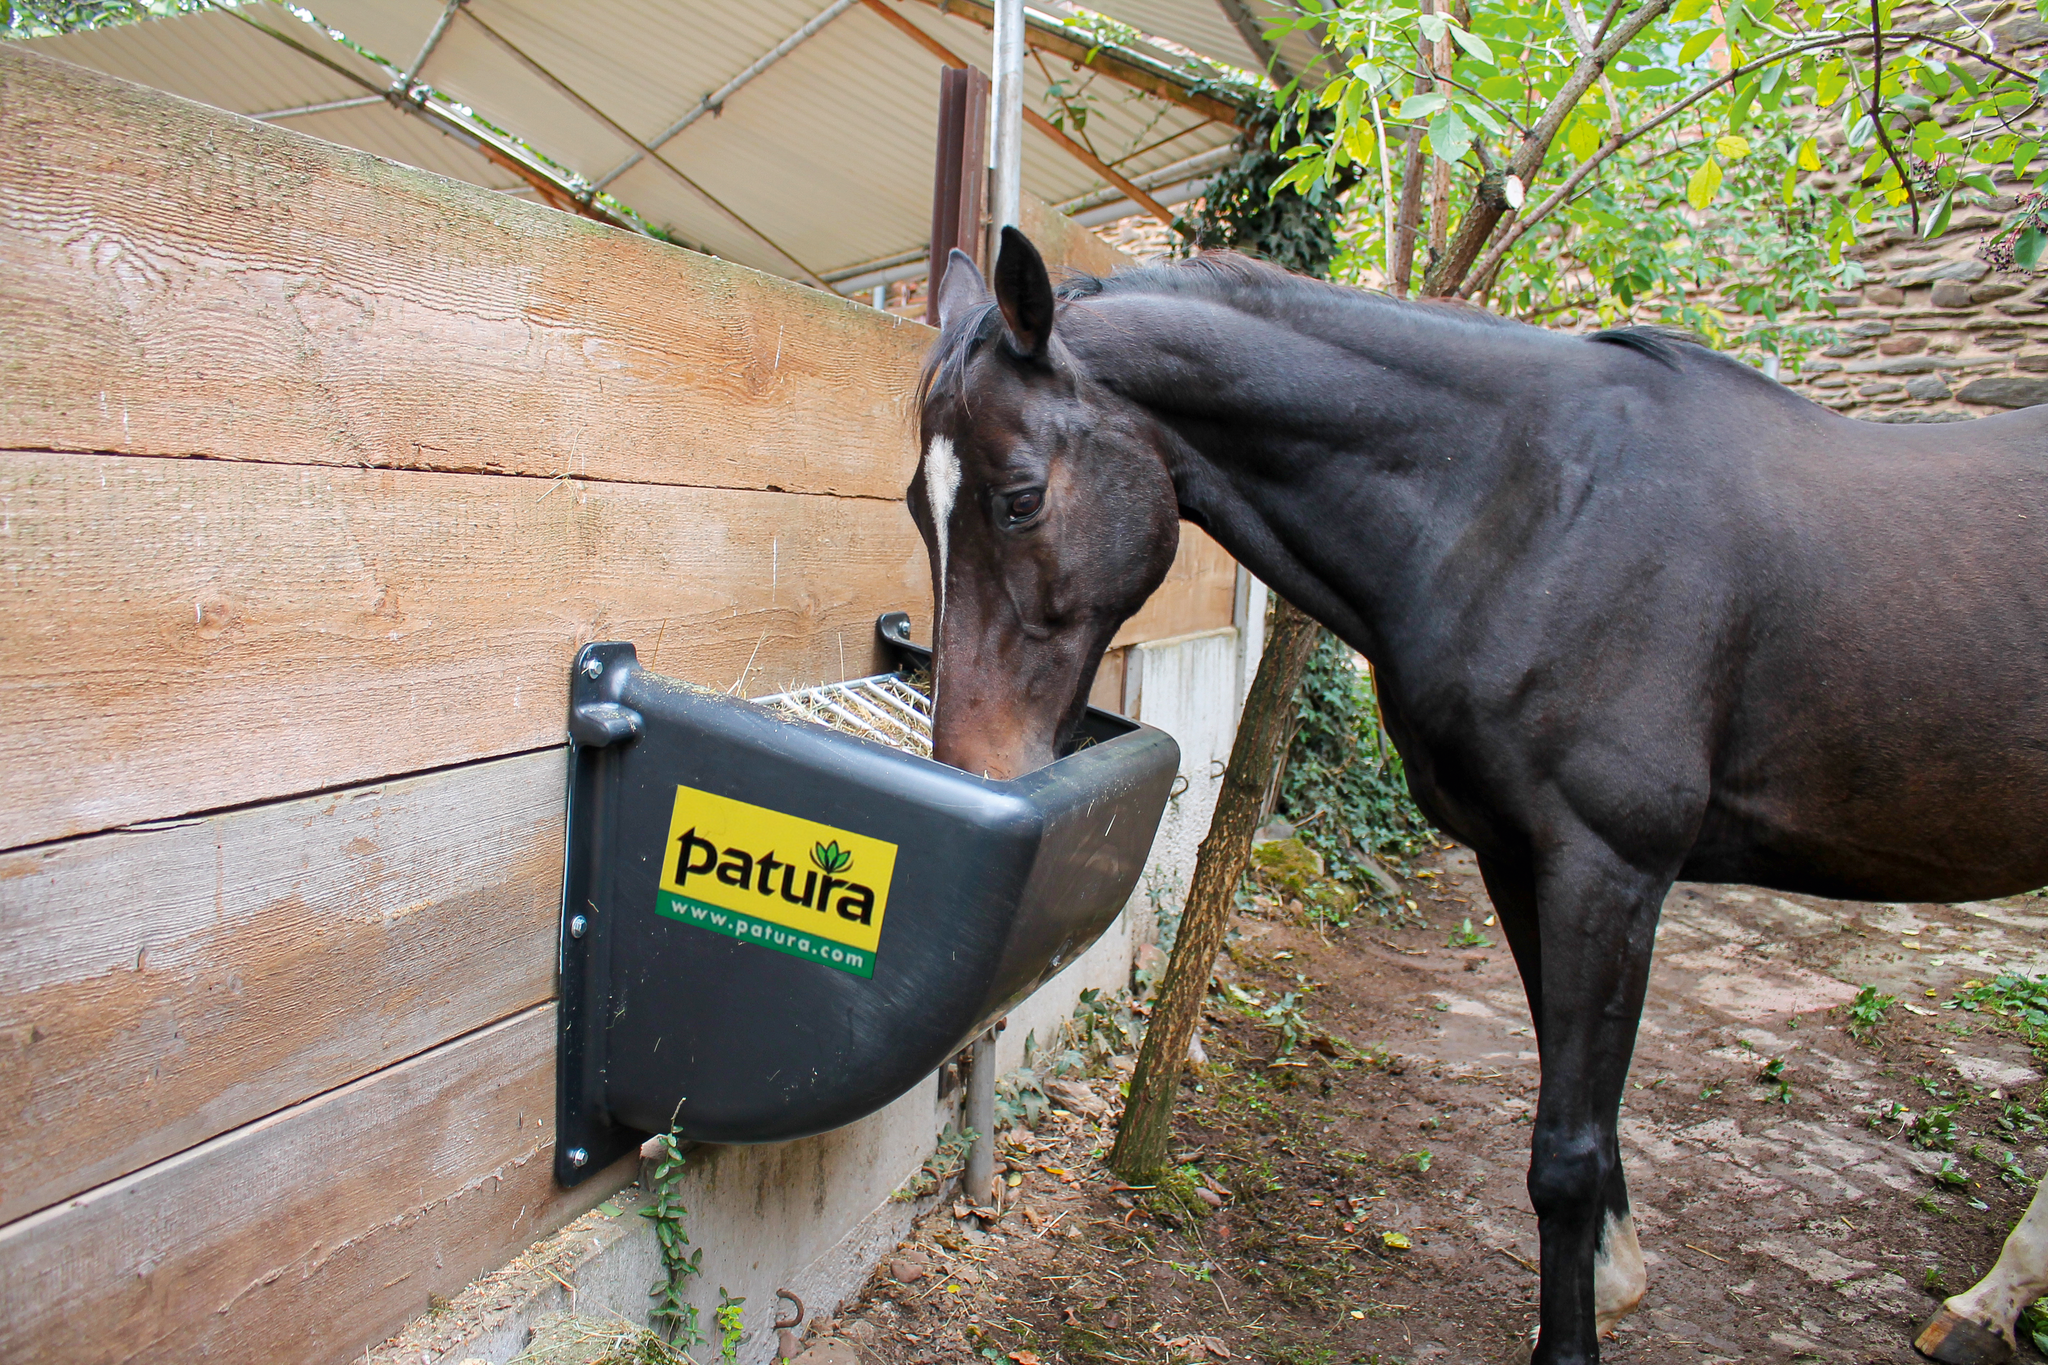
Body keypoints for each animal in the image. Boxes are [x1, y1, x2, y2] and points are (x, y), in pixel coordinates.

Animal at [905, 227, 2048, 1364]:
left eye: (1018, 498)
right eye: (920, 506)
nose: (975, 765)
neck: (1532, 508)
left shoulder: (1607, 871)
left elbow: (1567, 1149)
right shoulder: (1517, 857)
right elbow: (1577, 1100)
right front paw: (1613, 1282)